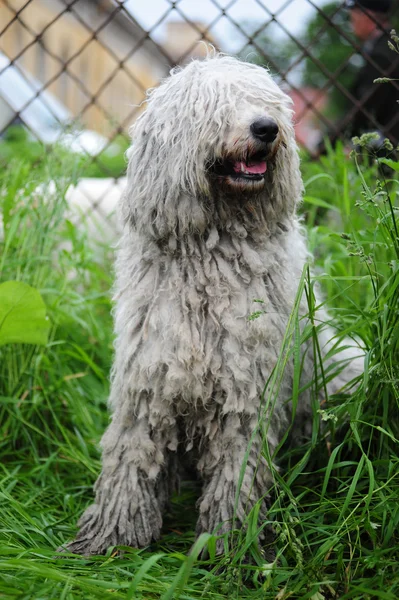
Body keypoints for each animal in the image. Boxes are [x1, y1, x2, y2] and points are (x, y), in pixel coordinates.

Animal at [66, 54, 366, 556]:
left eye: (269, 102)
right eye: (214, 104)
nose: (266, 127)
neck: (212, 249)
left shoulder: (247, 388)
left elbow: (237, 471)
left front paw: (231, 544)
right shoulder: (148, 374)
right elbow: (130, 455)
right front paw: (112, 534)